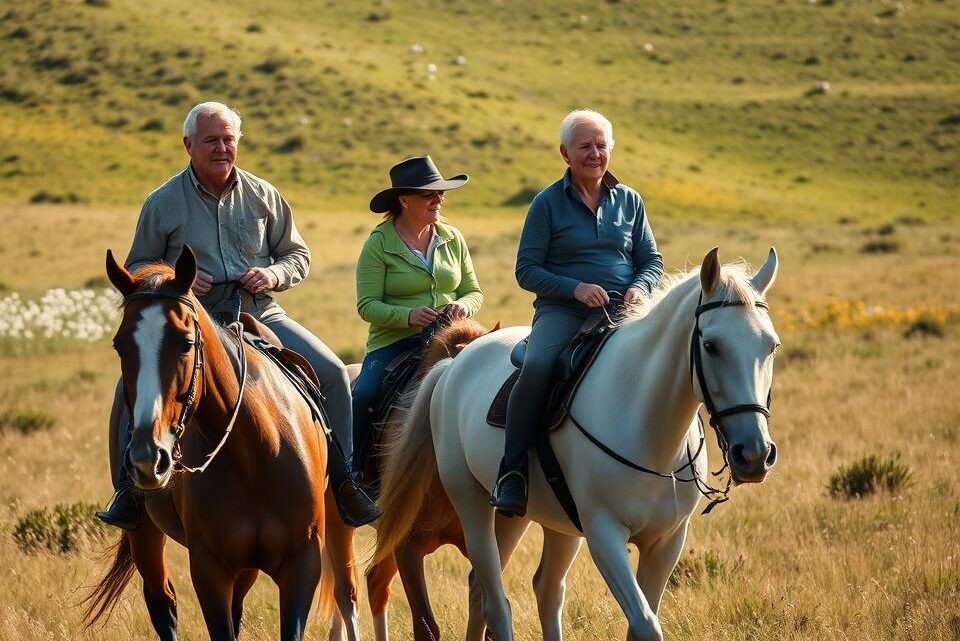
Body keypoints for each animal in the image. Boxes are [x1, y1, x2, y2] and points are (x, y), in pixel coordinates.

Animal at [82, 247, 361, 641]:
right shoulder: (209, 568)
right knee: (162, 601)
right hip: (145, 533)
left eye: (186, 343)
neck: (254, 452)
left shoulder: (302, 561)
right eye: (119, 345)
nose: (147, 458)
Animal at [375, 247, 781, 640]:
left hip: (534, 521)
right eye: (711, 346)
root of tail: (453, 364)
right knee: (495, 602)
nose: (754, 454)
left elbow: (642, 619)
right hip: (472, 505)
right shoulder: (604, 534)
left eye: (772, 346)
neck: (647, 431)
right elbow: (646, 624)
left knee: (530, 590)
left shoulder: (667, 542)